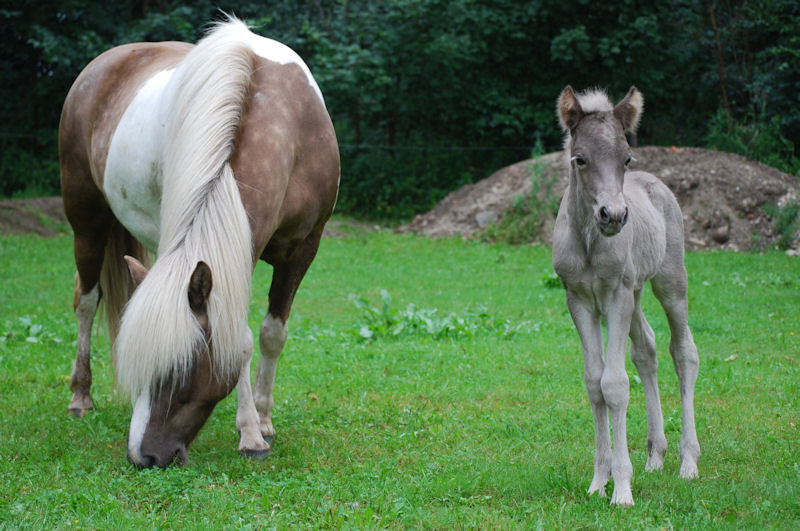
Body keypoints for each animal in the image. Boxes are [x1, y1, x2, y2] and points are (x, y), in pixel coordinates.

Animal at [59, 16, 340, 468]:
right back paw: (80, 397)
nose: (142, 457)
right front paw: (249, 434)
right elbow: (239, 339)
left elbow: (271, 335)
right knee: (87, 300)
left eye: (181, 370)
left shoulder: (302, 250)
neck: (289, 127)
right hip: (86, 219)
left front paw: (262, 422)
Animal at [552, 86, 700, 508]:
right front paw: (598, 481)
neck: (588, 241)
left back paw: (688, 462)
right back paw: (656, 455)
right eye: (580, 159)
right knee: (646, 349)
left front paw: (621, 489)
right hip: (635, 292)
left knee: (683, 352)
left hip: (669, 282)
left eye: (626, 158)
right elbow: (594, 383)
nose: (614, 216)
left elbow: (615, 384)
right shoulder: (579, 300)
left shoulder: (617, 297)